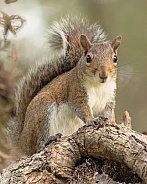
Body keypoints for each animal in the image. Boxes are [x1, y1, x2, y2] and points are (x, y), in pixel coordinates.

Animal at [7, 16, 121, 156]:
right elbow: (82, 108)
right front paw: (92, 120)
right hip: (42, 108)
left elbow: (109, 113)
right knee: (37, 145)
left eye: (115, 58)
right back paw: (47, 140)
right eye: (88, 58)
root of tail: (22, 141)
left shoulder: (109, 99)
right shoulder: (76, 91)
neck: (99, 86)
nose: (103, 74)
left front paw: (112, 123)